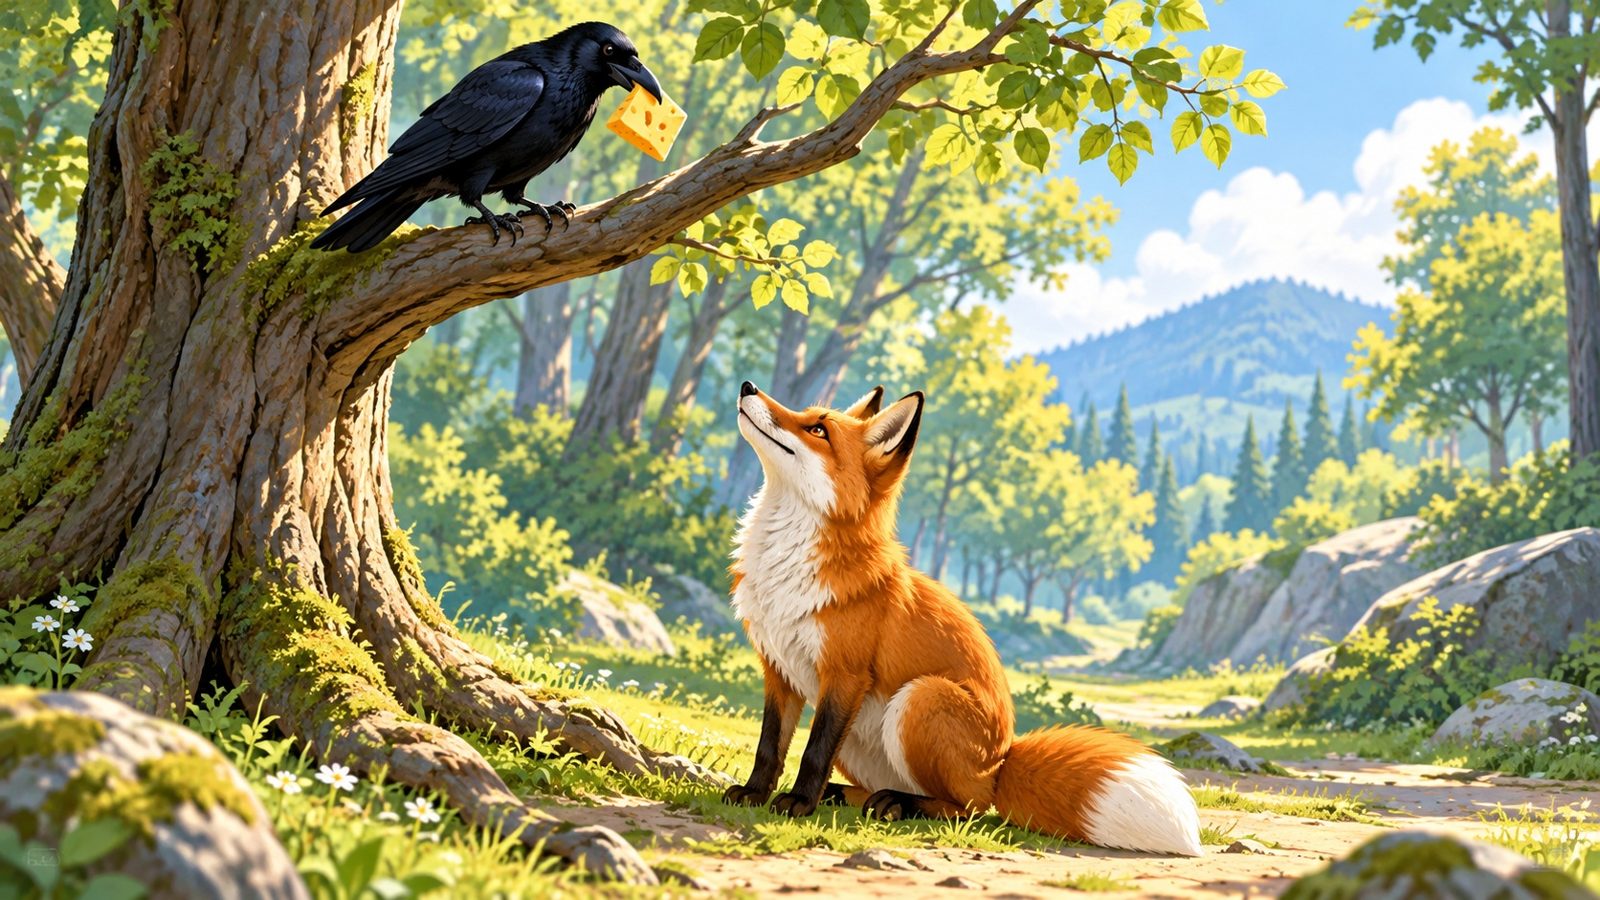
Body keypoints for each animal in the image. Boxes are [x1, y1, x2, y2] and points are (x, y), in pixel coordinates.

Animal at [723, 380, 1202, 856]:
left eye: (818, 429)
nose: (748, 386)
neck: (787, 571)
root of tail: (1002, 762)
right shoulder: (779, 668)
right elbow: (770, 745)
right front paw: (756, 793)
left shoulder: (845, 673)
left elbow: (813, 751)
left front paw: (799, 803)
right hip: (865, 735)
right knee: (902, 789)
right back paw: (848, 795)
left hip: (921, 697)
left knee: (968, 806)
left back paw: (896, 804)